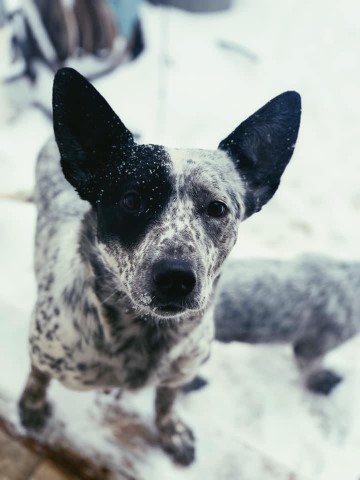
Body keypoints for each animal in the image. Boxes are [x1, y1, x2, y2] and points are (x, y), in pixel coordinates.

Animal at [19, 68, 300, 464]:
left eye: (217, 208)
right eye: (132, 200)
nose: (176, 278)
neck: (143, 333)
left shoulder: (178, 372)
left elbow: (167, 401)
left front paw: (172, 430)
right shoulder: (45, 352)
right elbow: (37, 377)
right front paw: (31, 405)